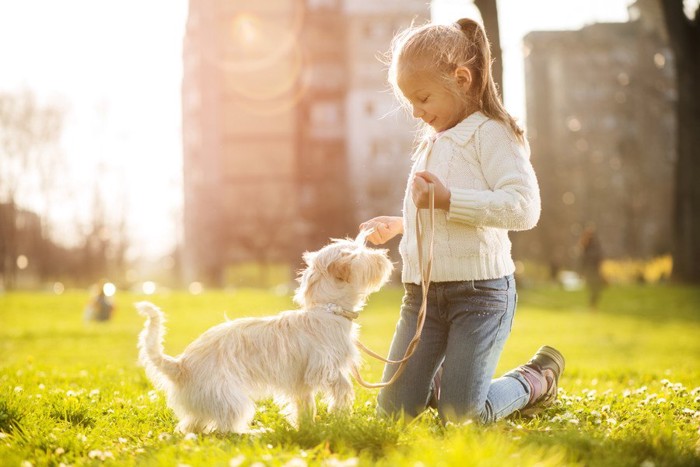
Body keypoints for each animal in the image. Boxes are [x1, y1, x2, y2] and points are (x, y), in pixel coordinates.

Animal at [134, 236, 392, 436]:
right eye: (362, 254)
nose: (384, 254)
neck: (327, 308)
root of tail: (181, 365)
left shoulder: (301, 384)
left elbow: (306, 406)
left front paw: (308, 428)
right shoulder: (323, 367)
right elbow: (343, 385)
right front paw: (341, 409)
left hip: (205, 404)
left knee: (191, 427)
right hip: (232, 399)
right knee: (226, 430)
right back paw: (254, 433)